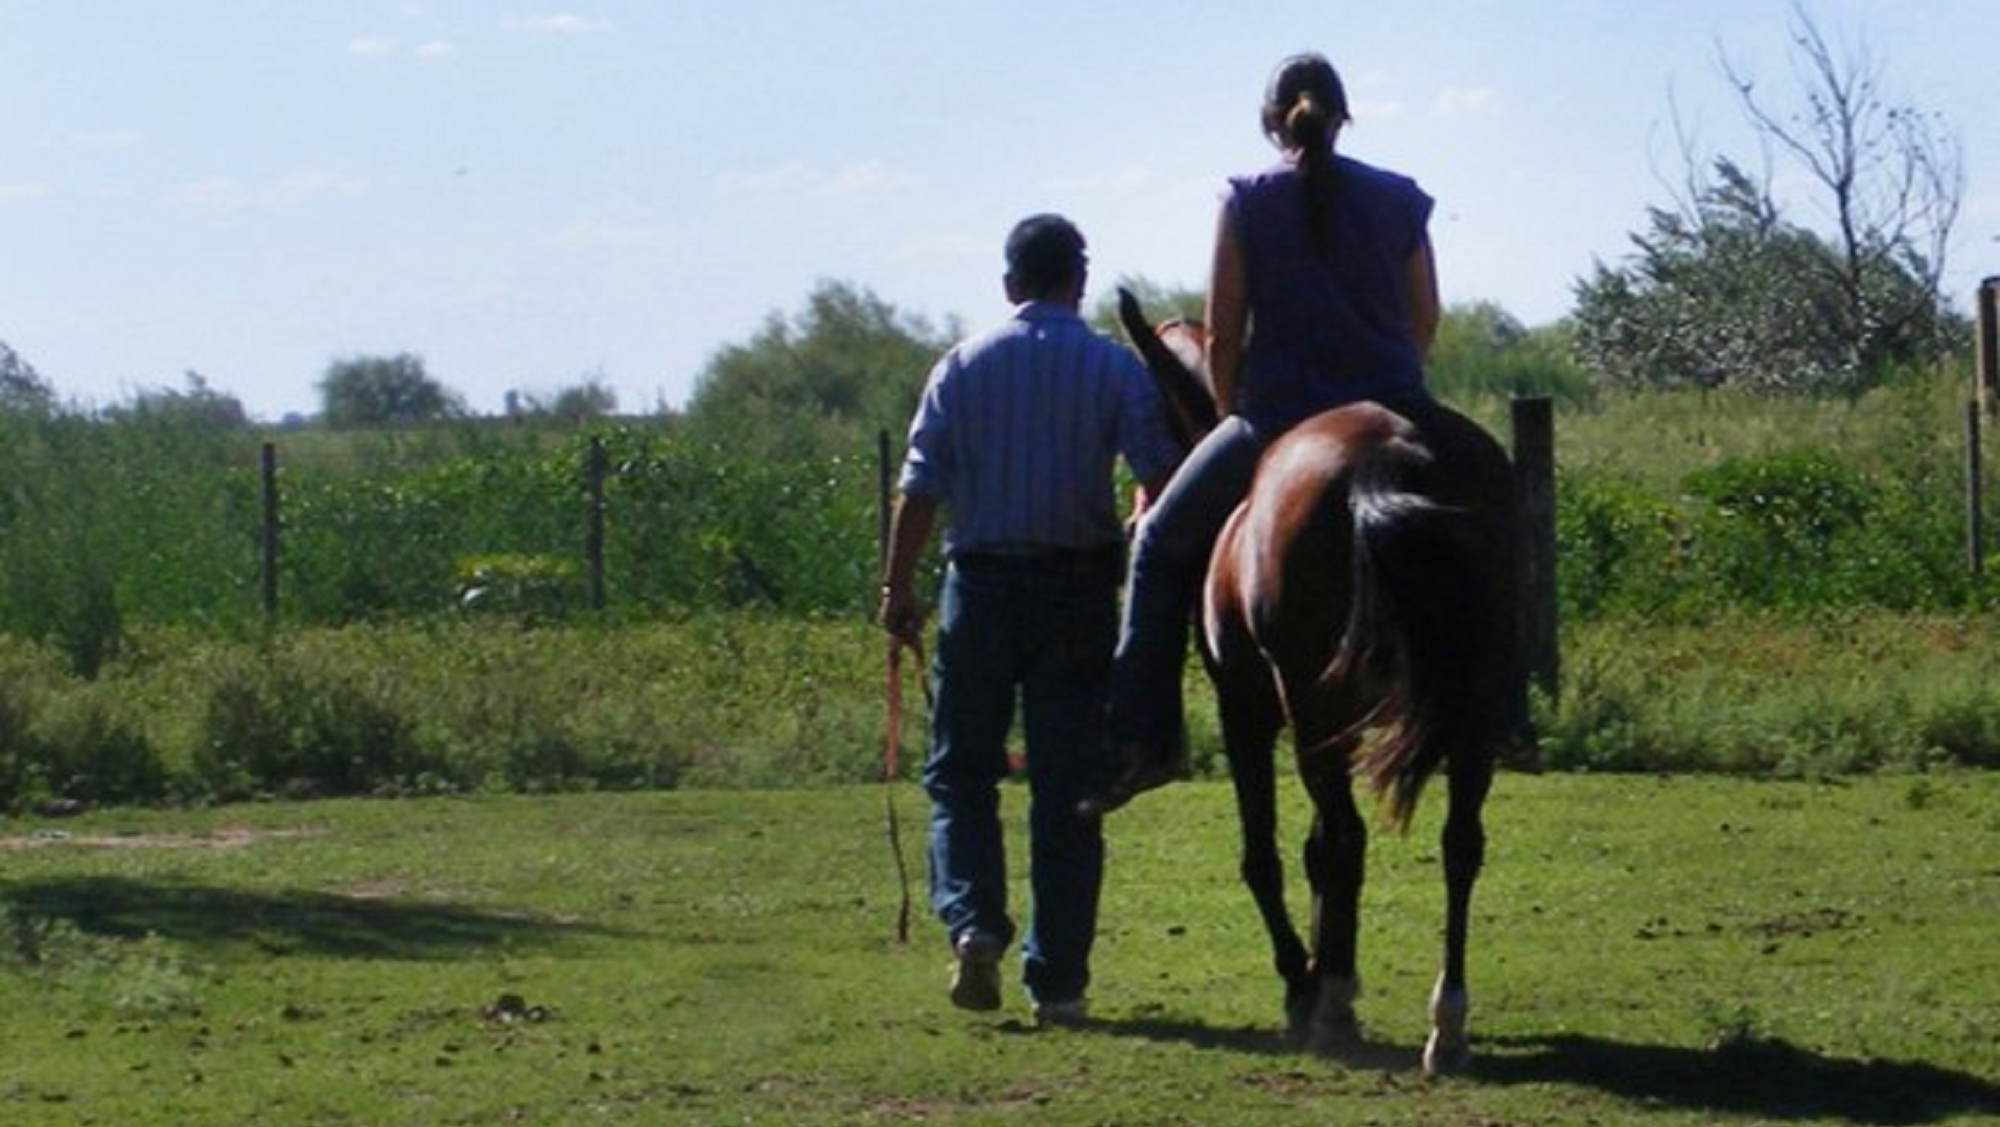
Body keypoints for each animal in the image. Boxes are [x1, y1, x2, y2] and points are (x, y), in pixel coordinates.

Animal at [1120, 285, 1520, 1071]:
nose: (1134, 513)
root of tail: (1391, 450)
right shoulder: (1348, 716)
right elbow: (1315, 853)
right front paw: (1333, 962)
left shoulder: (1245, 709)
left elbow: (1268, 854)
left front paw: (1304, 982)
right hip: (1470, 699)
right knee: (1459, 842)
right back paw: (1446, 1021)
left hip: (1307, 705)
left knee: (1350, 837)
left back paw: (1330, 1004)